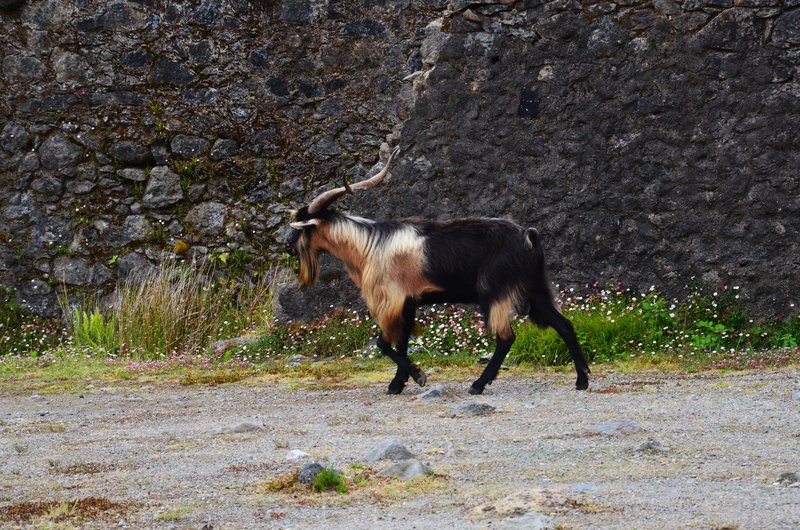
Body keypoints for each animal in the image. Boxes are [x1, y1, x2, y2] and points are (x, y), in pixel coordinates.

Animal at [285, 147, 590, 395]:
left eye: (302, 227)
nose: (287, 245)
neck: (369, 246)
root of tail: (528, 236)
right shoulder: (409, 303)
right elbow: (401, 343)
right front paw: (398, 384)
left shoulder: (393, 301)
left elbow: (384, 343)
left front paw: (417, 376)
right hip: (534, 289)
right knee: (564, 325)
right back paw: (582, 380)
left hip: (496, 291)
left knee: (506, 337)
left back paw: (479, 384)